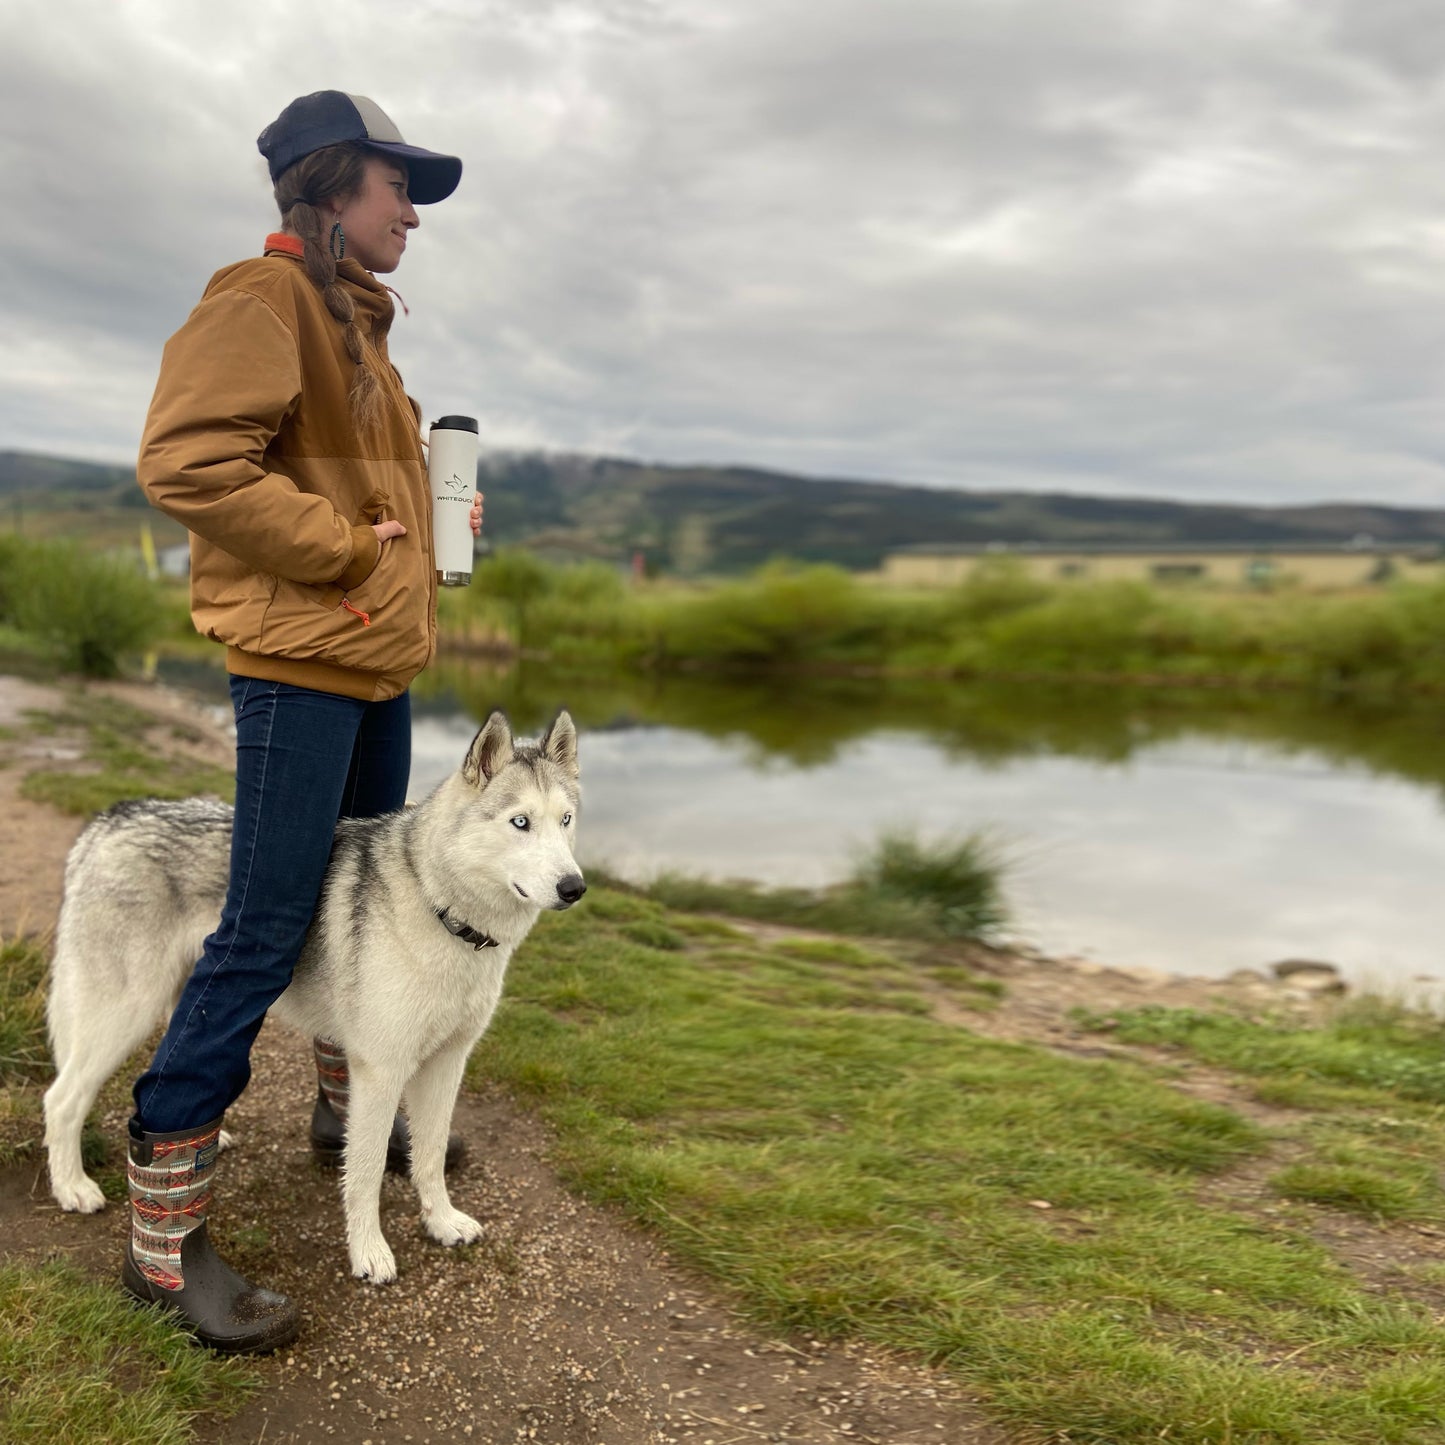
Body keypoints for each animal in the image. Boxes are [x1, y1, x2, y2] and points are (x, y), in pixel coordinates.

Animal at [43, 705, 580, 1283]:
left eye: (566, 820)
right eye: (520, 822)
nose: (575, 888)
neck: (442, 908)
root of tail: (112, 818)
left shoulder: (446, 1062)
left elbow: (431, 1155)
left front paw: (441, 1222)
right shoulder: (381, 1072)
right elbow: (365, 1172)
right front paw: (368, 1252)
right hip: (122, 1015)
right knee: (62, 1099)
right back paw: (72, 1186)